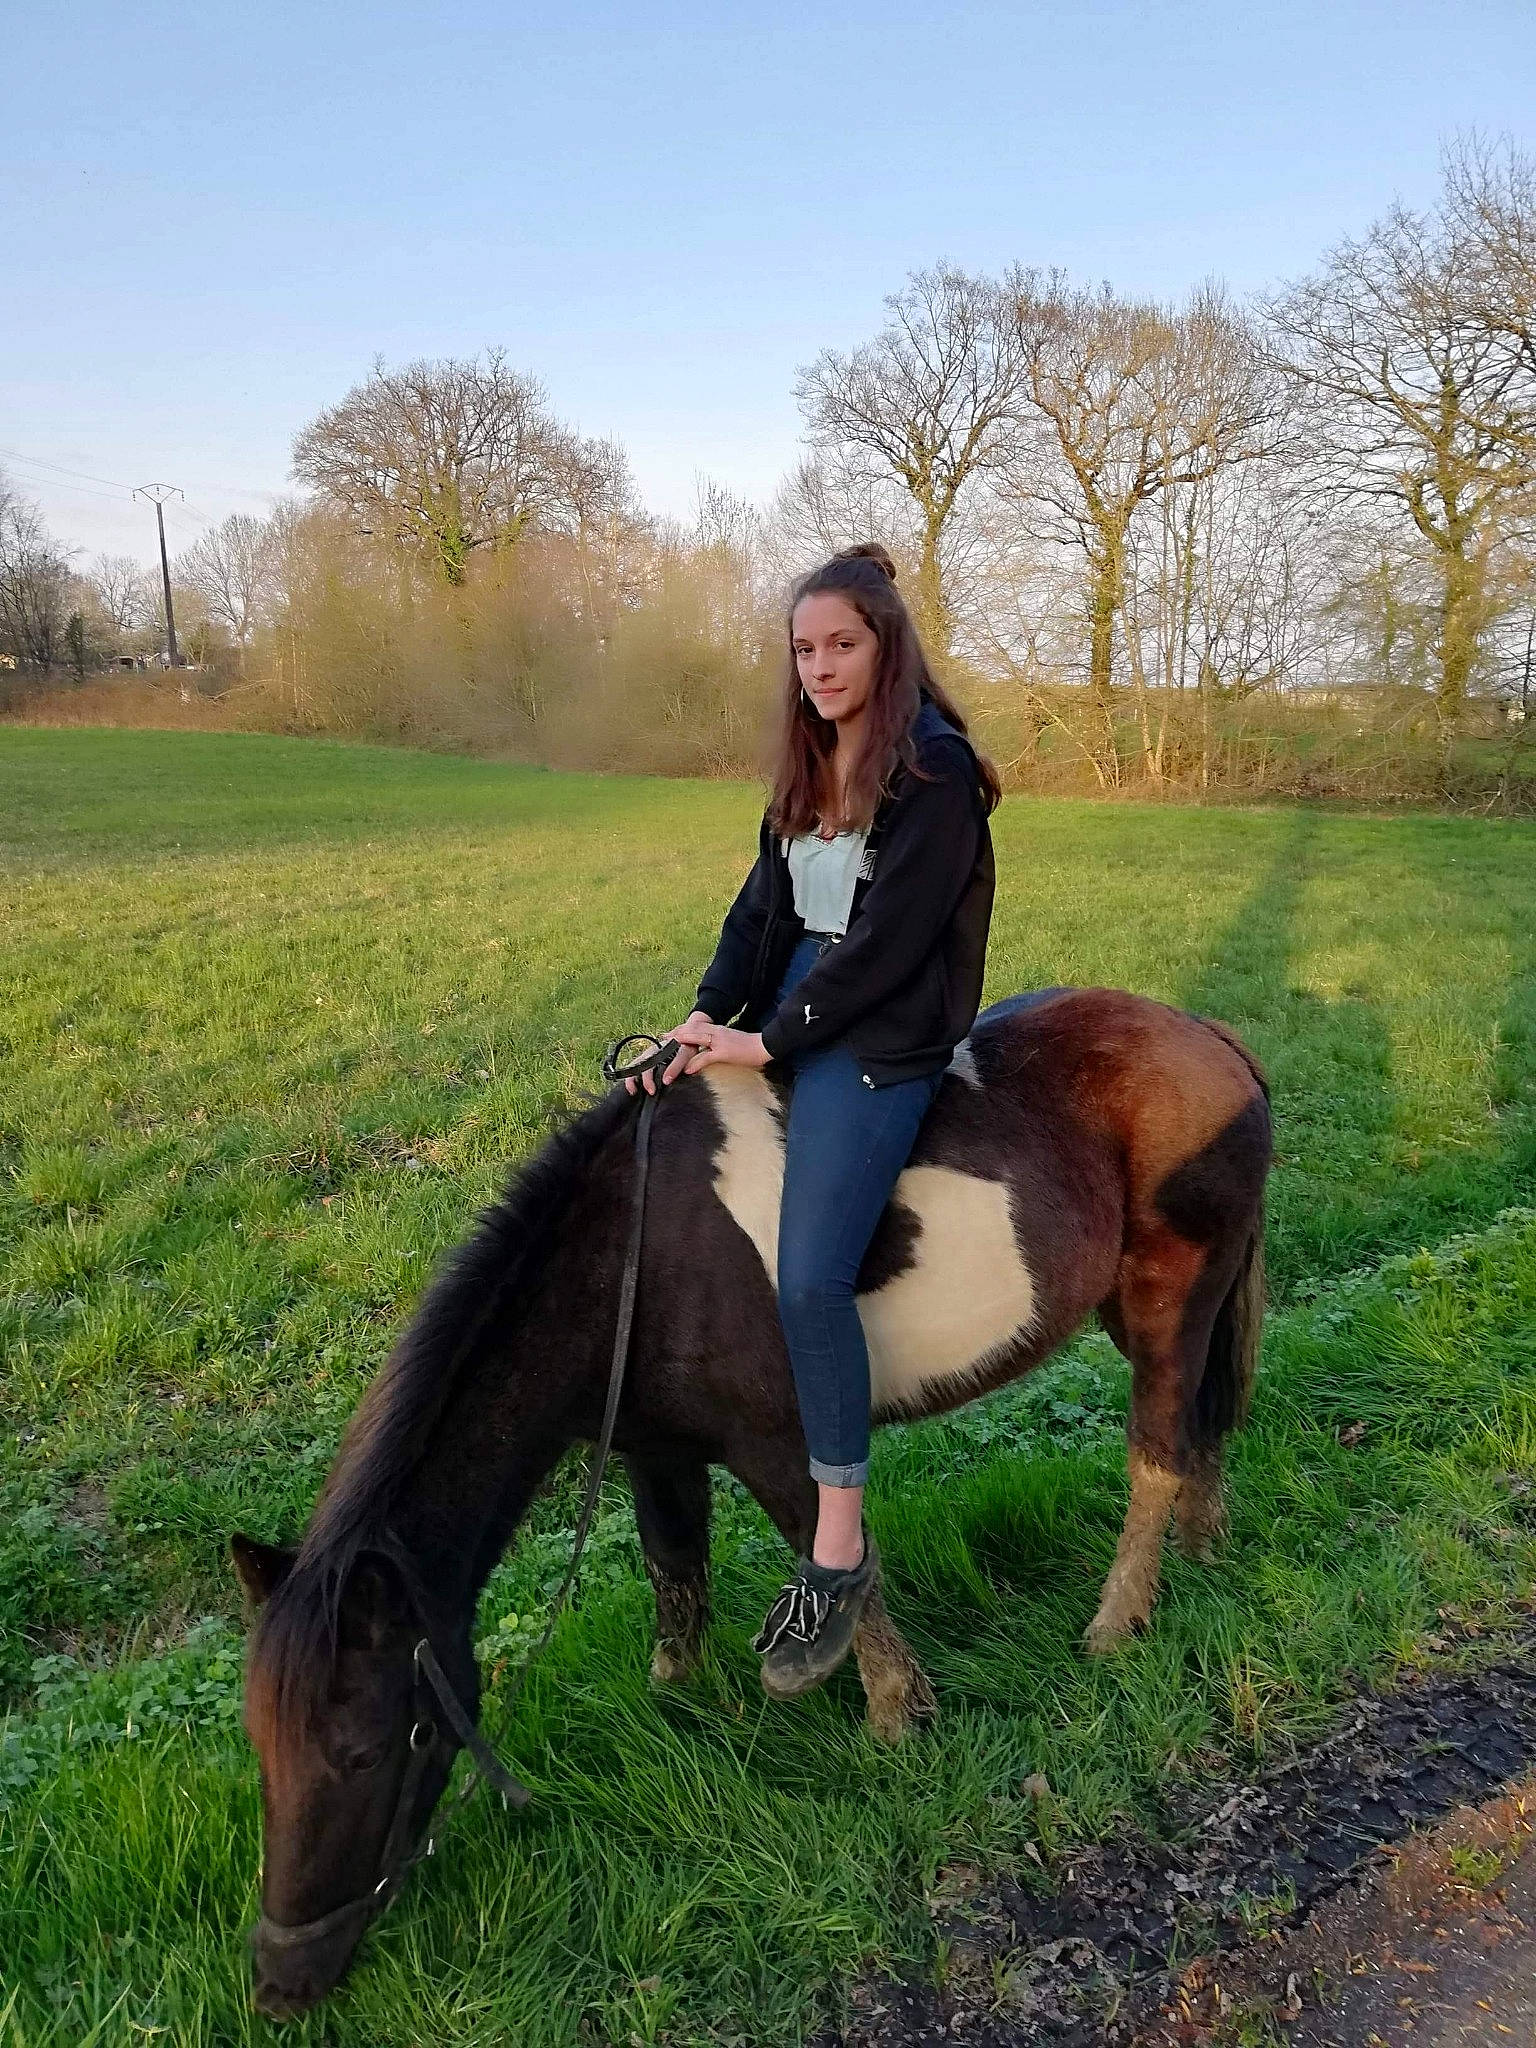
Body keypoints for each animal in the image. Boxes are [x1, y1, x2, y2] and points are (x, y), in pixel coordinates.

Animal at [231, 986, 1271, 2016]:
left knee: (1156, 1456)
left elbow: (833, 1557)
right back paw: (1203, 1551)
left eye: (367, 1749)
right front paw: (677, 1703)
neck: (631, 1257)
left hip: (1167, 1299)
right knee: (1198, 1429)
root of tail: (1212, 1039)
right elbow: (674, 1569)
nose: (280, 1983)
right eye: (260, 1748)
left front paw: (896, 1715)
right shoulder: (654, 1451)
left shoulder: (780, 1445)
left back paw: (1118, 1621)